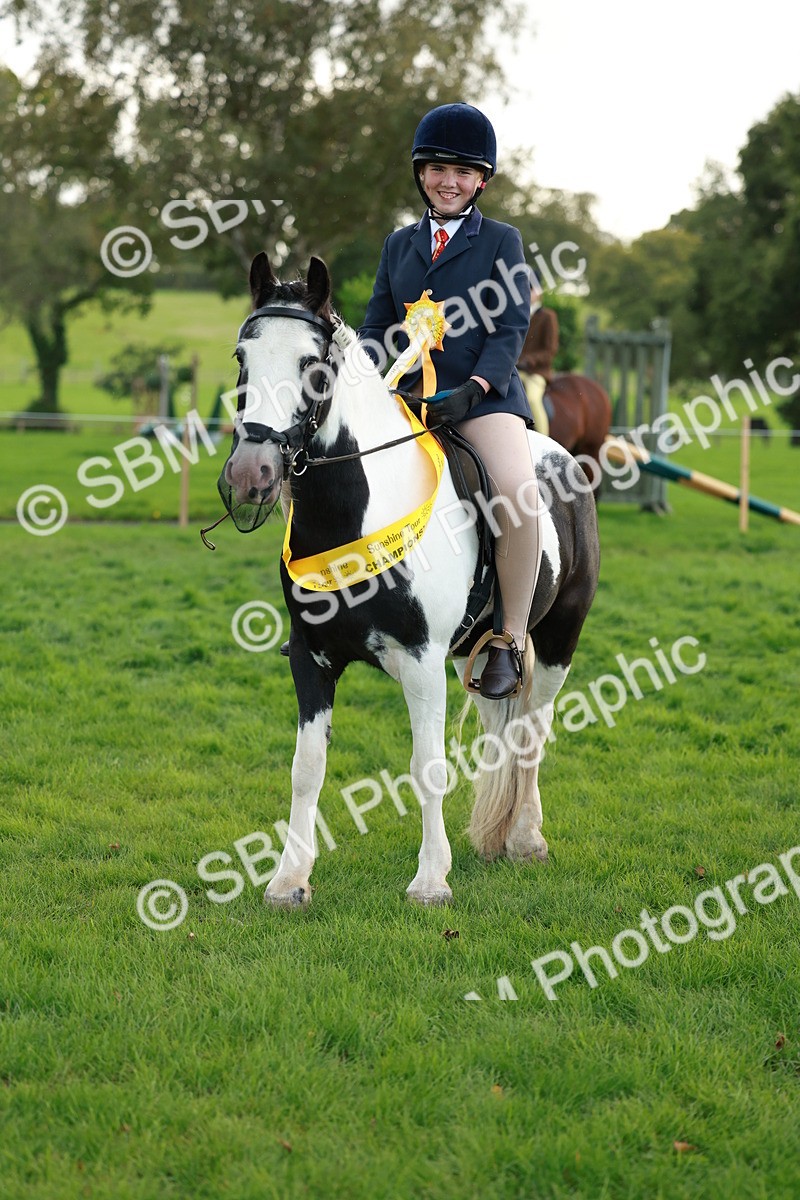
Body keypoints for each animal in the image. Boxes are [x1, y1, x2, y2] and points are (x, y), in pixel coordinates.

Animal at [217, 251, 600, 907]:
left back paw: (526, 839)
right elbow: (305, 769)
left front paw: (430, 880)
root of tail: (561, 457)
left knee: (533, 729)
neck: (358, 513)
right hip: (480, 653)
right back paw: (496, 839)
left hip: (557, 640)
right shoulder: (311, 659)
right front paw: (289, 880)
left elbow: (428, 767)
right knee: (503, 723)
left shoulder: (421, 661)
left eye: (313, 365)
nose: (252, 474)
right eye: (243, 357)